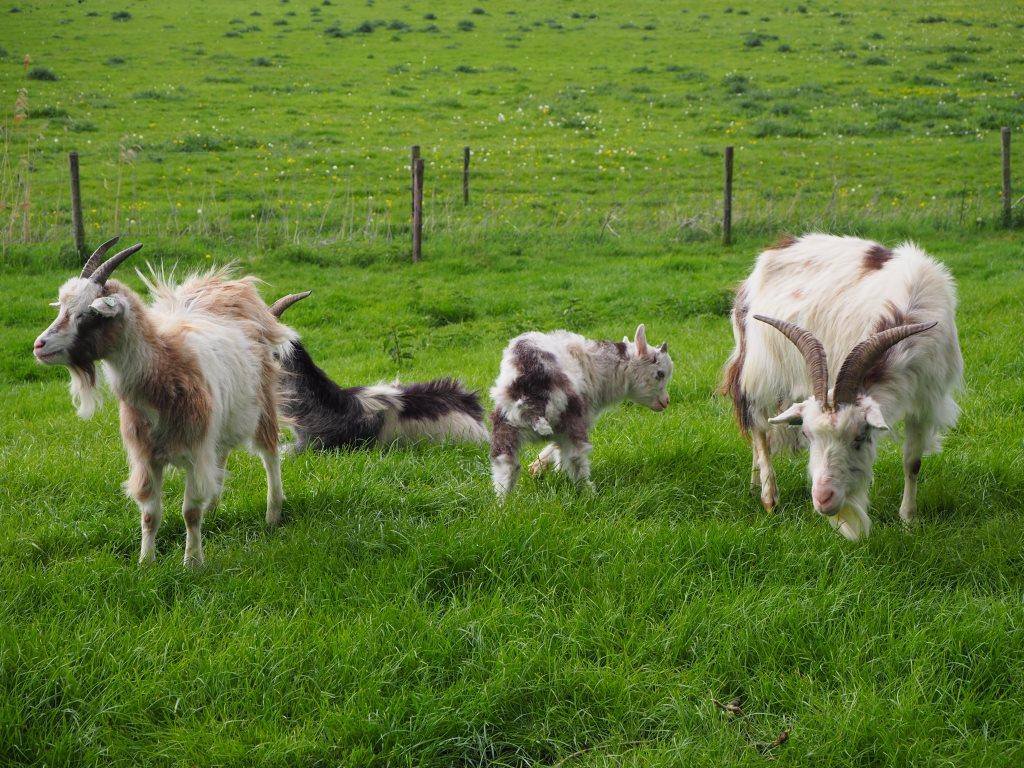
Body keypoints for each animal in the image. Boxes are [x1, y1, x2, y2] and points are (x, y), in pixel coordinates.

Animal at [36, 237, 292, 569]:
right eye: (64, 308)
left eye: (89, 314)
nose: (39, 346)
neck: (167, 365)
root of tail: (231, 288)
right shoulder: (146, 456)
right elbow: (150, 514)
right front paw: (146, 562)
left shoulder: (195, 450)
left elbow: (189, 512)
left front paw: (192, 562)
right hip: (221, 420)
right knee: (221, 456)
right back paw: (214, 508)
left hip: (262, 403)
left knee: (270, 454)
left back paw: (273, 513)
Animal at [487, 325, 671, 499]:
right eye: (660, 374)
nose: (666, 402)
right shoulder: (583, 417)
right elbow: (559, 451)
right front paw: (546, 468)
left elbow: (556, 448)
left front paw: (542, 468)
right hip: (570, 420)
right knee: (576, 457)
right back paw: (590, 493)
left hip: (507, 425)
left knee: (506, 465)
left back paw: (503, 505)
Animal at [720, 234, 958, 540]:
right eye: (807, 435)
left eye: (860, 437)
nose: (823, 499)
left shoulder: (926, 400)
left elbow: (912, 462)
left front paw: (908, 520)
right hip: (759, 370)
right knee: (759, 426)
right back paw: (769, 497)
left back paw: (753, 482)